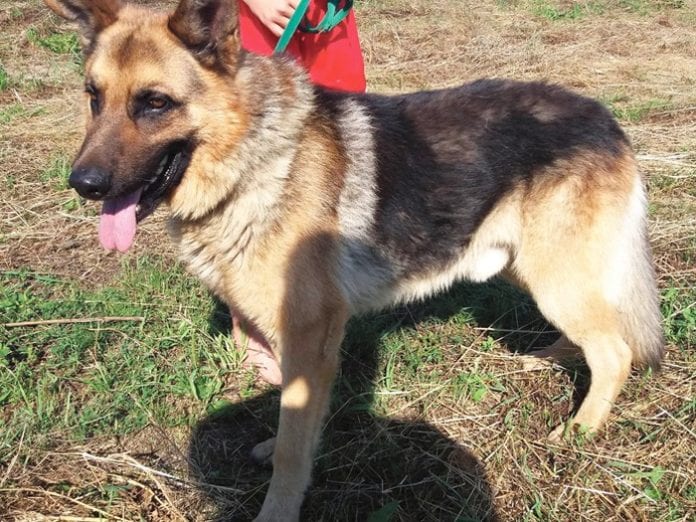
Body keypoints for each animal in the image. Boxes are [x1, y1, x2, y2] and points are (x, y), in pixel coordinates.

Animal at [45, 0, 664, 519]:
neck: (255, 155)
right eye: (94, 97)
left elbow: (296, 448)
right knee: (596, 336)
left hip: (556, 275)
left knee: (615, 351)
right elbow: (291, 420)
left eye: (154, 102)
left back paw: (581, 428)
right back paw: (550, 358)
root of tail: (604, 118)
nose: (84, 185)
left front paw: (277, 509)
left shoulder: (309, 339)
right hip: (532, 266)